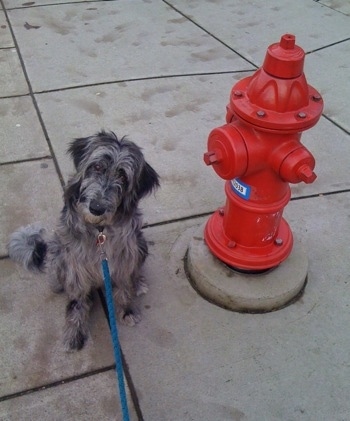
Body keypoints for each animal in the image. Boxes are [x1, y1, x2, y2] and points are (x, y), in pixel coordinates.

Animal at [8, 131, 159, 352]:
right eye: (96, 167)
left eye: (123, 176)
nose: (96, 208)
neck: (100, 231)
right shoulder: (75, 264)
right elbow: (77, 302)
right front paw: (75, 330)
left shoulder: (125, 255)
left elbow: (124, 286)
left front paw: (127, 308)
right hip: (58, 253)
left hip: (140, 243)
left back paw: (138, 282)